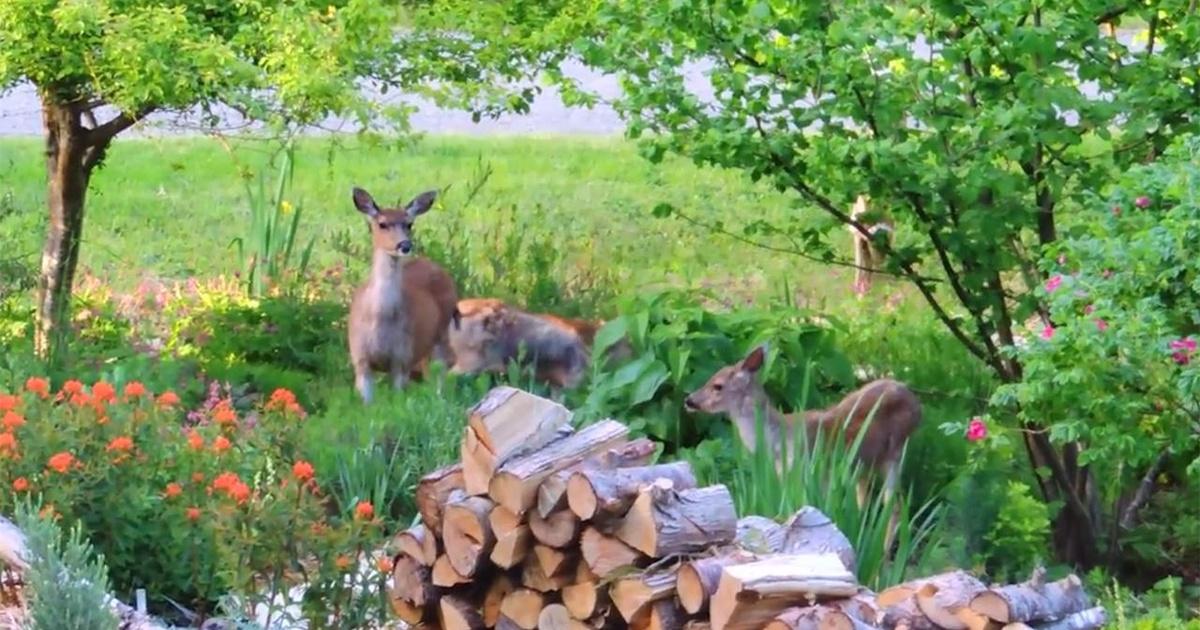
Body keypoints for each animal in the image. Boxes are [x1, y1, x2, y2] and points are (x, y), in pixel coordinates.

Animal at [347, 186, 460, 404]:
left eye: (409, 224)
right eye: (382, 224)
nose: (405, 245)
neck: (379, 318)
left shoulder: (402, 358)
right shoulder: (360, 359)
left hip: (441, 332)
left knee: (442, 367)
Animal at [683, 344, 922, 515]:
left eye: (718, 386)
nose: (689, 400)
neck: (778, 440)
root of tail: (916, 402)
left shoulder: (815, 472)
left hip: (896, 452)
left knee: (895, 507)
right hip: (864, 464)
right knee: (866, 499)